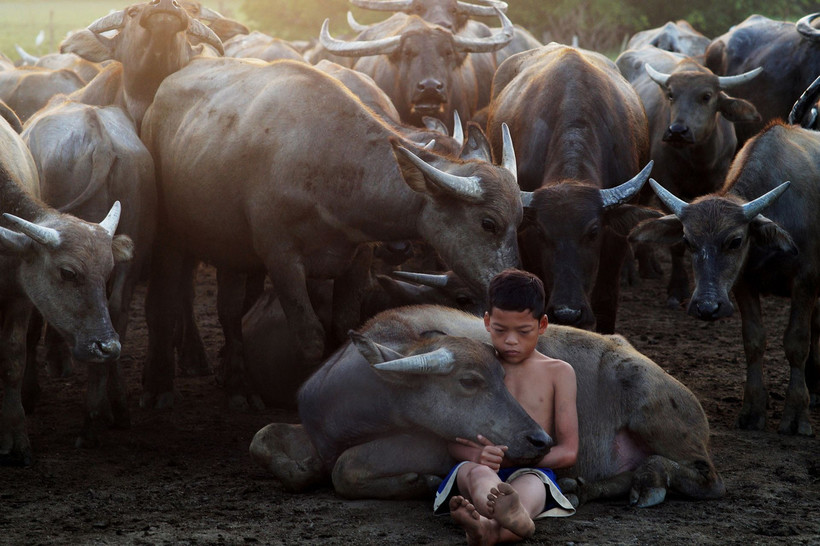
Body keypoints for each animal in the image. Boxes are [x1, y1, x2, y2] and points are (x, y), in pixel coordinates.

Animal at [140, 58, 524, 408]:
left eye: (520, 217)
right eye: (488, 223)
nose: (509, 284)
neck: (328, 163)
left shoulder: (358, 259)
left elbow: (343, 328)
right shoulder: (281, 260)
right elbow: (310, 337)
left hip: (230, 248)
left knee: (230, 310)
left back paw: (237, 386)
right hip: (170, 236)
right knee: (166, 301)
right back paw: (160, 386)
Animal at [250, 304, 724, 504]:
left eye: (501, 377)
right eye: (470, 381)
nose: (539, 439)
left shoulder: (430, 446)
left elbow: (345, 468)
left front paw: (416, 482)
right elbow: (263, 438)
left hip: (653, 407)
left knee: (706, 477)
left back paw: (651, 480)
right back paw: (584, 486)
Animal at [632, 119, 820, 434]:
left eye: (735, 240)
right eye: (688, 241)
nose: (707, 307)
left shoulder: (805, 281)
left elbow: (797, 342)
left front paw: (796, 414)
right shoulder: (744, 284)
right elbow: (753, 341)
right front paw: (752, 411)